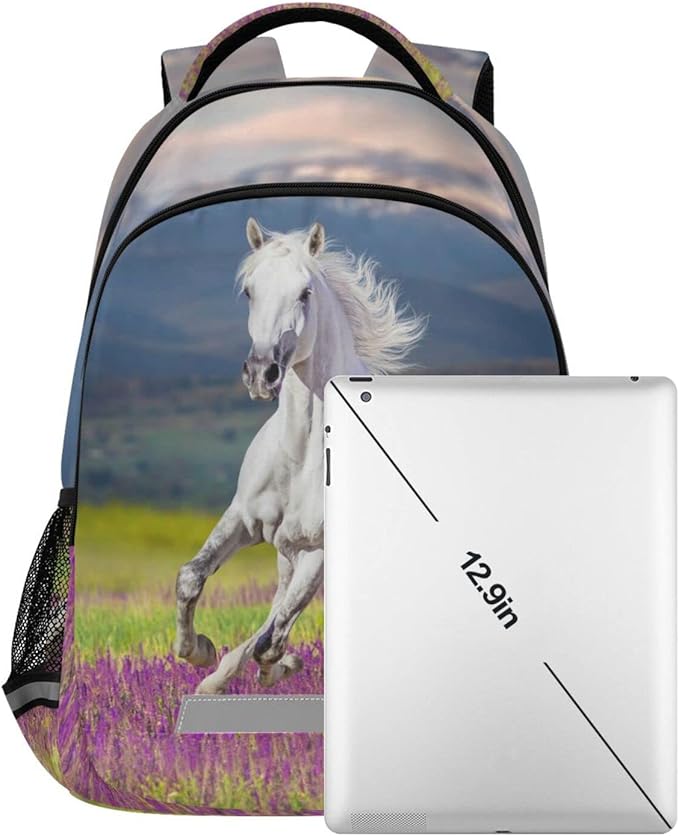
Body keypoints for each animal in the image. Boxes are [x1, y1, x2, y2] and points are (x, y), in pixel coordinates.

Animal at [174, 216, 426, 694]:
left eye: (305, 292)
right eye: (249, 291)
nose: (261, 374)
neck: (301, 454)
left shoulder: (317, 551)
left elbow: (272, 638)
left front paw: (278, 665)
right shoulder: (243, 519)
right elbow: (191, 578)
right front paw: (199, 652)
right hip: (284, 555)